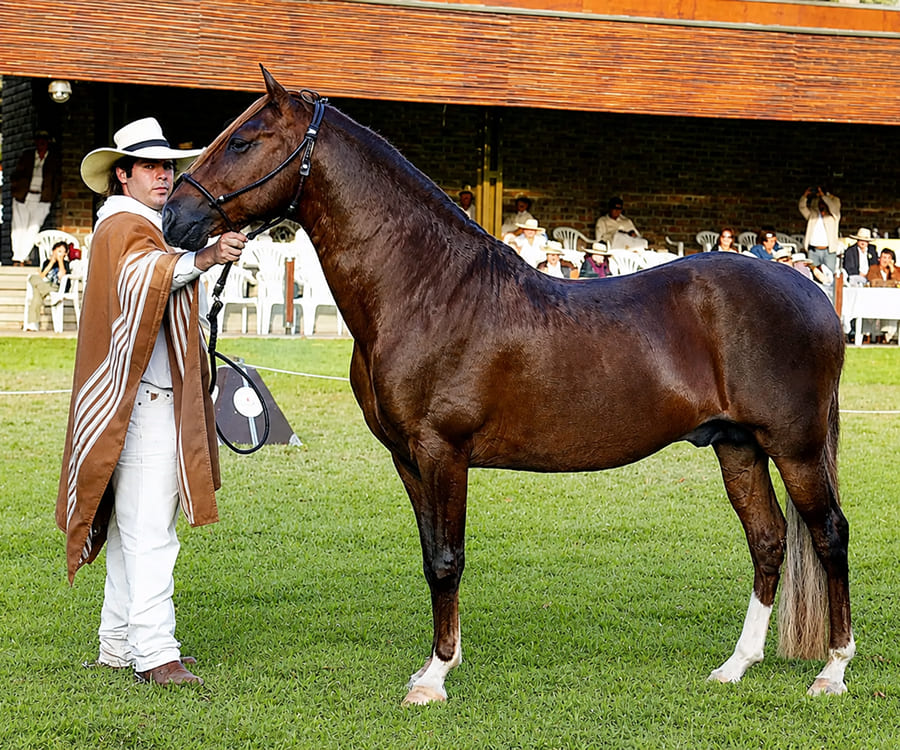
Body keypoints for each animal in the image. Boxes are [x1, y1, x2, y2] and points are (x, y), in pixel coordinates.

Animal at [162, 67, 853, 704]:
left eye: (244, 140)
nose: (174, 217)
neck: (426, 288)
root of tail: (812, 291)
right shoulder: (408, 459)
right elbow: (432, 557)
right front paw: (437, 661)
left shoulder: (443, 450)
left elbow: (448, 558)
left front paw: (435, 679)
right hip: (738, 447)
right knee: (768, 542)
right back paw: (736, 665)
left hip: (794, 449)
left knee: (828, 535)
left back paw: (833, 671)